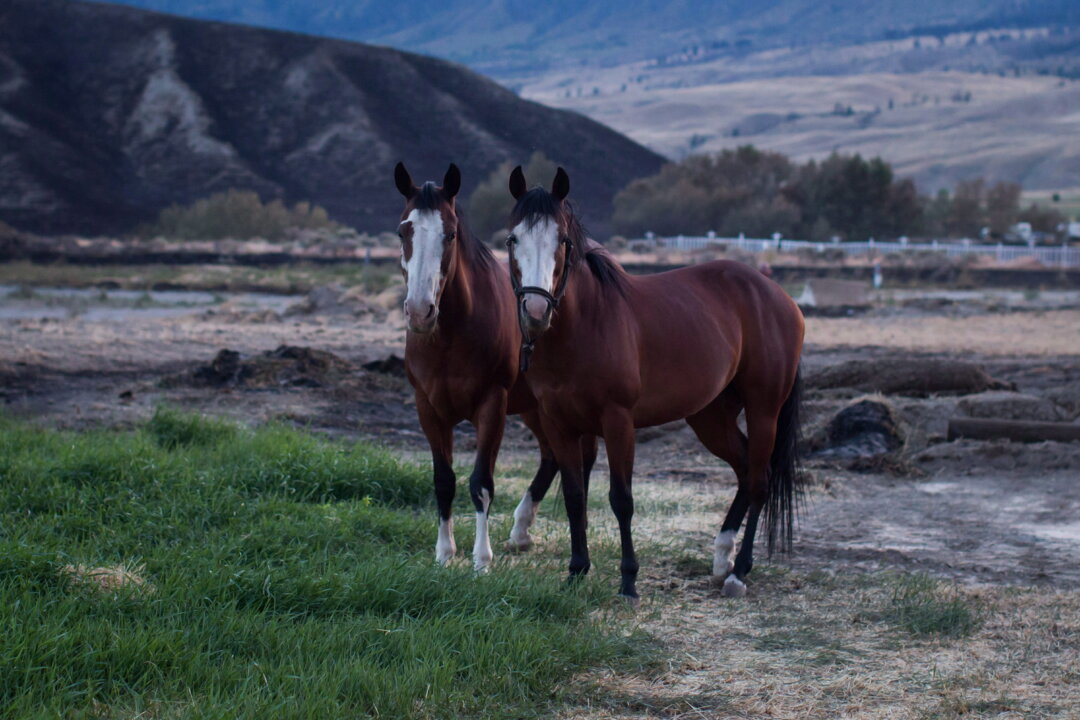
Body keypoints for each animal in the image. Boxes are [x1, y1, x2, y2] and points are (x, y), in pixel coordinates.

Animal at [392, 162, 597, 571]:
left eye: (450, 234)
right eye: (403, 231)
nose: (421, 312)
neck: (452, 335)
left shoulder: (492, 405)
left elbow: (481, 483)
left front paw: (481, 560)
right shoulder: (428, 408)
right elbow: (444, 480)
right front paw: (444, 553)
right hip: (534, 407)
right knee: (551, 457)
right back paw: (520, 531)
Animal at [501, 165, 806, 599]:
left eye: (562, 240)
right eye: (513, 239)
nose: (537, 309)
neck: (586, 325)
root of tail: (780, 297)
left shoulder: (618, 422)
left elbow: (621, 499)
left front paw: (629, 581)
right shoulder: (559, 423)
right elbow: (575, 497)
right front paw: (576, 572)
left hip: (764, 410)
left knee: (761, 480)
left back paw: (739, 572)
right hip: (711, 417)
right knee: (745, 470)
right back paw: (722, 556)